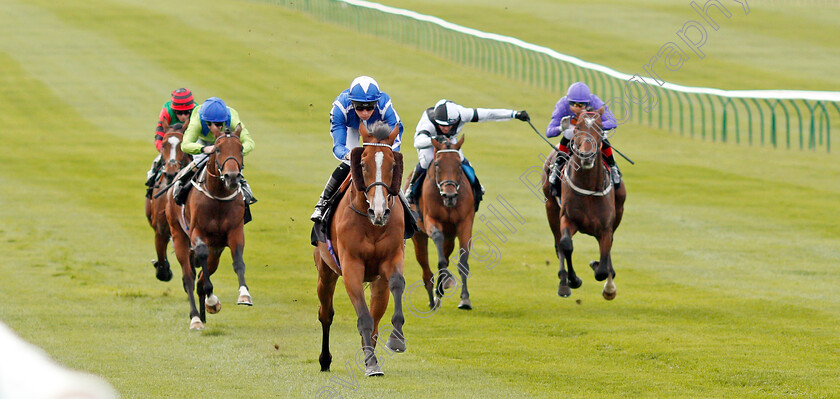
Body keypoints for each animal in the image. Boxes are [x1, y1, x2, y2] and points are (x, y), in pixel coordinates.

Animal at [144, 123, 190, 282]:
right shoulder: (161, 229)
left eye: (182, 144)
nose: (171, 173)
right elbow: (163, 269)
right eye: (164, 144)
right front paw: (163, 268)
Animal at [166, 124, 251, 332]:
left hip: (217, 250)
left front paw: (244, 294)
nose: (232, 177)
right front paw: (212, 300)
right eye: (217, 149)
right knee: (189, 277)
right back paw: (196, 318)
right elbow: (201, 256)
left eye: (241, 149)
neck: (218, 197)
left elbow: (238, 262)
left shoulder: (235, 232)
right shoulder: (197, 233)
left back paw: (203, 314)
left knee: (202, 276)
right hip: (179, 236)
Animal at [316, 120, 406, 376]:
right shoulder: (351, 266)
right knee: (326, 314)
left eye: (393, 165)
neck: (371, 223)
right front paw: (372, 364)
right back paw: (325, 360)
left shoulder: (392, 258)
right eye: (363, 164)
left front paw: (396, 339)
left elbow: (397, 284)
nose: (379, 211)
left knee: (376, 316)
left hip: (377, 282)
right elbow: (363, 317)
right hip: (325, 272)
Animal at [410, 136, 476, 310]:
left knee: (445, 253)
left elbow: (462, 261)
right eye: (437, 164)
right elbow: (440, 258)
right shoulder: (431, 220)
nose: (450, 195)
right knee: (426, 268)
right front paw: (446, 281)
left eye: (459, 164)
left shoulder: (465, 223)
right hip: (419, 236)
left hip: (450, 236)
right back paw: (433, 299)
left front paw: (465, 299)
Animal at [544, 111, 624, 302]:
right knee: (559, 243)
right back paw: (564, 284)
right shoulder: (567, 218)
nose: (586, 155)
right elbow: (566, 245)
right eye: (578, 127)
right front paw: (573, 280)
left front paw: (608, 285)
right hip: (551, 208)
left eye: (600, 128)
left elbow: (602, 267)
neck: (588, 187)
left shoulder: (606, 227)